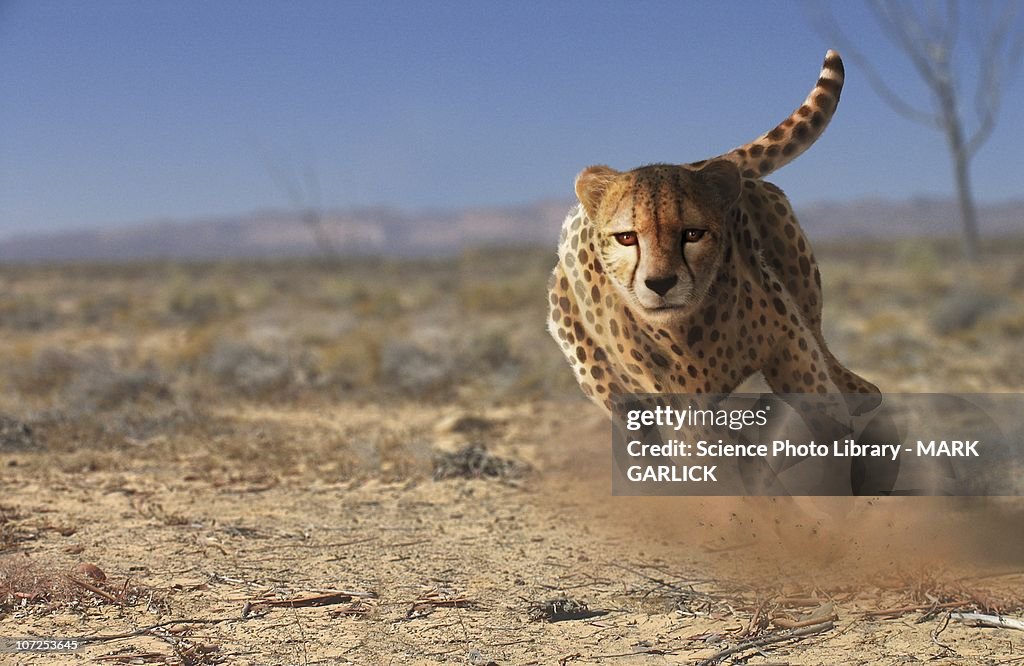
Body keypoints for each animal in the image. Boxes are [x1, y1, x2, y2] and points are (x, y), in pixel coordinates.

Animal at [547, 50, 880, 423]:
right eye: (627, 238)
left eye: (693, 234)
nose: (660, 284)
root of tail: (690, 165)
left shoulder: (792, 351)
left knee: (831, 355)